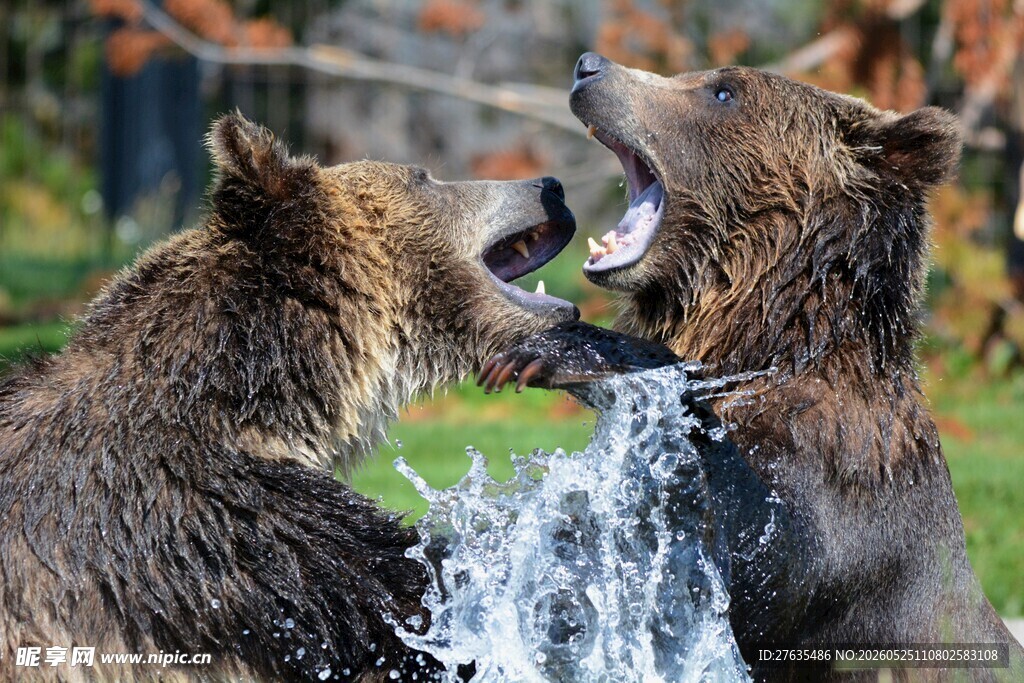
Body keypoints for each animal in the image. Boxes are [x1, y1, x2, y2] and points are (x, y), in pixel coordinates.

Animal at [481, 53, 1024, 681]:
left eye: (723, 92)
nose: (591, 68)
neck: (769, 341)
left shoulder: (836, 491)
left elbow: (752, 542)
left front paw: (551, 352)